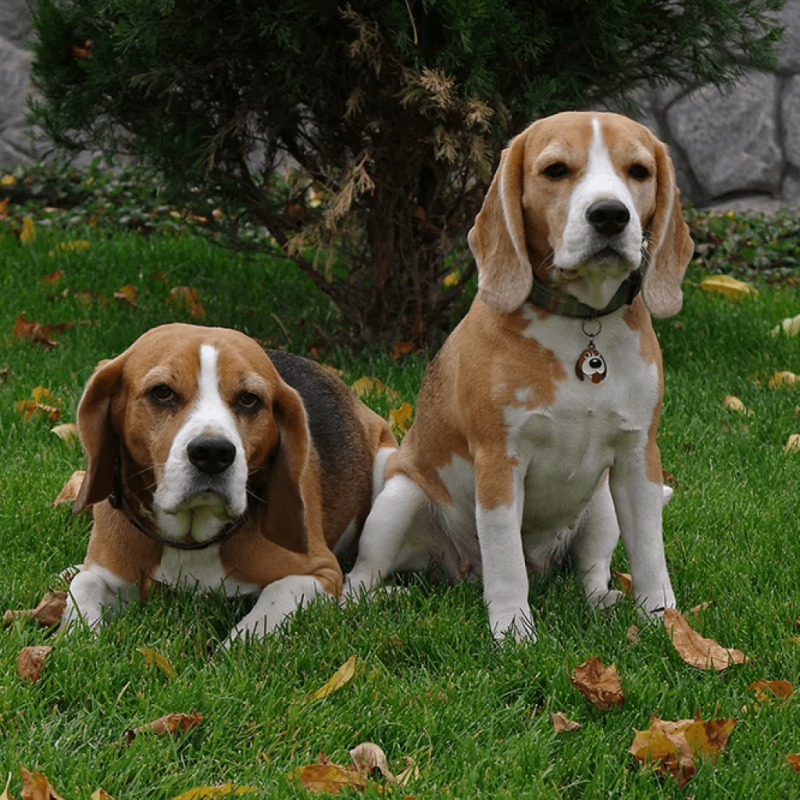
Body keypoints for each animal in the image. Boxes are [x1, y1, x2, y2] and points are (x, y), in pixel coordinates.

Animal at [61, 322, 396, 640]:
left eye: (249, 399)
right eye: (162, 392)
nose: (213, 453)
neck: (191, 541)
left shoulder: (319, 572)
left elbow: (268, 606)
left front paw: (233, 646)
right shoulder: (107, 573)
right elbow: (83, 587)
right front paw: (80, 633)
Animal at [346, 111, 696, 636]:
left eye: (639, 171)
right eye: (555, 170)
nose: (610, 214)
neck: (579, 327)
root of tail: (460, 571)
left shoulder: (638, 460)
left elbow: (651, 554)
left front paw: (664, 622)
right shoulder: (499, 461)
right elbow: (506, 560)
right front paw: (513, 632)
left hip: (603, 503)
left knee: (591, 568)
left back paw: (603, 598)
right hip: (400, 497)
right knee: (359, 579)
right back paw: (381, 600)